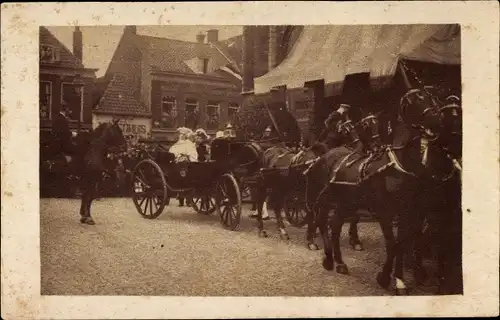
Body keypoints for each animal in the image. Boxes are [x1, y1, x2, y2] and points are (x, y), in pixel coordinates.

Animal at [308, 87, 446, 296]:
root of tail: (326, 154)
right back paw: (328, 258)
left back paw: (339, 262)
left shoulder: (409, 212)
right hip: (326, 198)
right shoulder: (385, 212)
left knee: (335, 225)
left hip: (346, 203)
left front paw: (401, 279)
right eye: (415, 101)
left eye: (430, 98)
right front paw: (388, 278)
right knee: (322, 221)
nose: (437, 119)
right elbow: (392, 243)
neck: (399, 164)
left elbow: (404, 242)